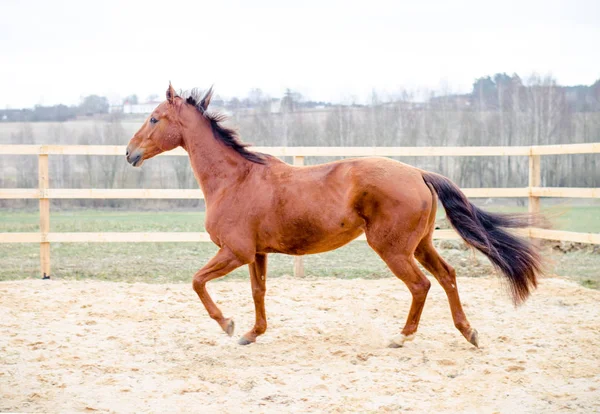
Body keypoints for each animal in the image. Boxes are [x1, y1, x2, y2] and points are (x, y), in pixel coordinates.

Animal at [126, 84, 544, 350]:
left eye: (154, 118)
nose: (130, 153)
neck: (235, 179)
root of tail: (419, 173)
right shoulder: (256, 254)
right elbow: (258, 291)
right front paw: (251, 333)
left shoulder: (235, 251)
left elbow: (197, 281)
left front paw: (227, 325)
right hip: (421, 245)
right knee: (447, 277)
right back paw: (468, 332)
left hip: (393, 250)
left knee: (421, 285)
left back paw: (401, 337)